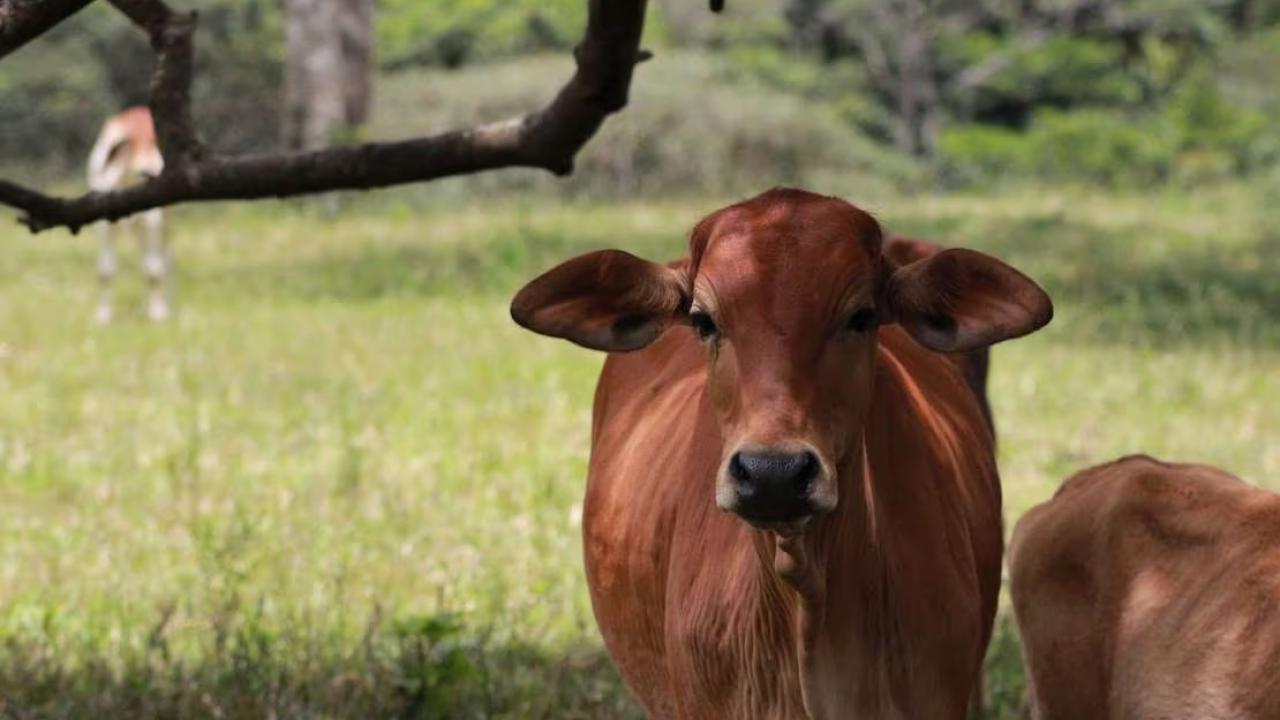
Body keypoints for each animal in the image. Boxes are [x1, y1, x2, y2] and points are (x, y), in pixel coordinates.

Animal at [88, 105, 170, 320]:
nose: (149, 169)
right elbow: (105, 270)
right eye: (129, 147)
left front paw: (157, 313)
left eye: (155, 144)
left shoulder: (152, 219)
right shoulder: (104, 224)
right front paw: (103, 315)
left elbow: (154, 269)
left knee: (163, 254)